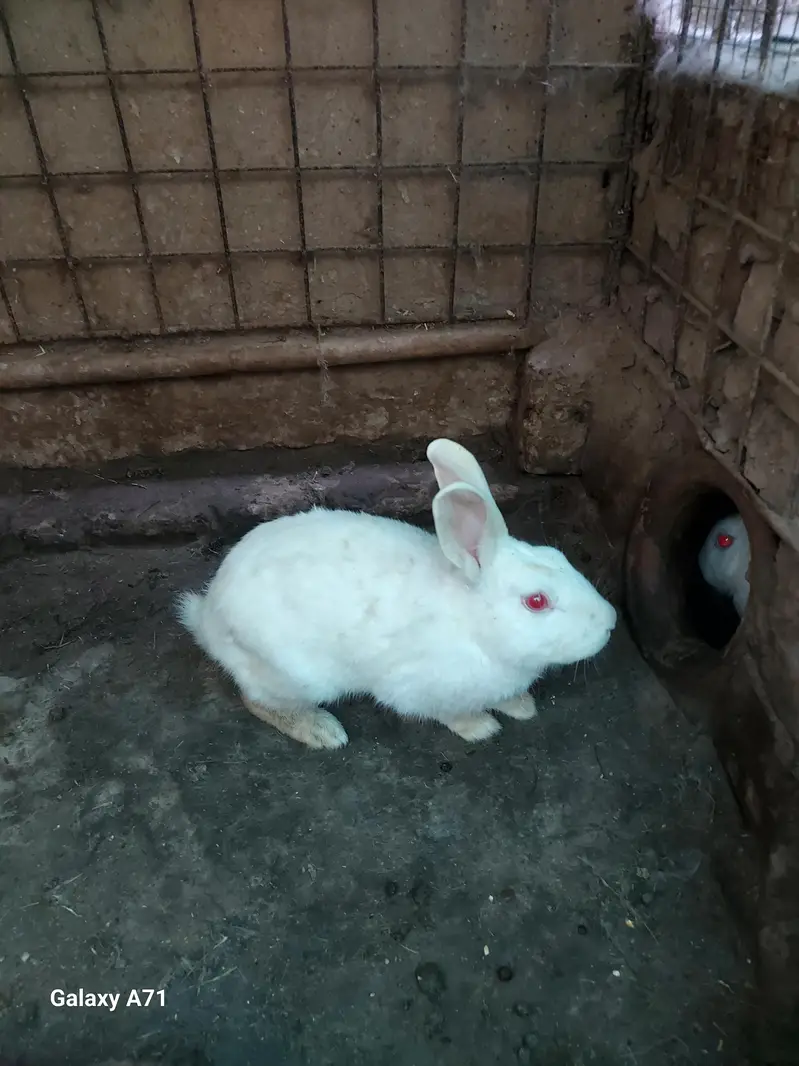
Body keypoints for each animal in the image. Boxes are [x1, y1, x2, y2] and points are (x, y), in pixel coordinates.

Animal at [176, 438, 617, 750]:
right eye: (536, 601)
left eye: (559, 556)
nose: (611, 623)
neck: (477, 625)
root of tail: (208, 614)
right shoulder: (422, 692)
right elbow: (451, 715)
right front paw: (482, 727)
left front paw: (521, 706)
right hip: (295, 675)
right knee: (259, 702)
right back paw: (322, 731)